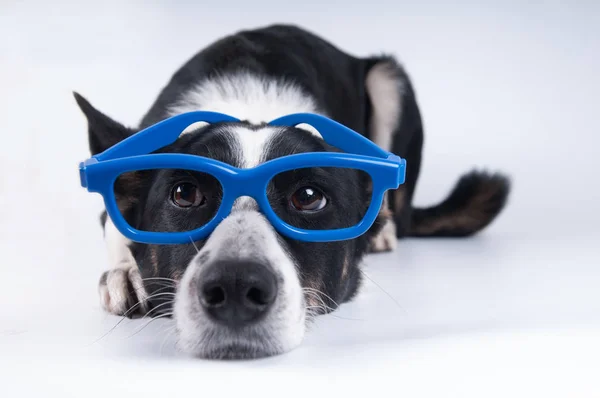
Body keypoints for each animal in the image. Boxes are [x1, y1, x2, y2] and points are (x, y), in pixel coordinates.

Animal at [72, 25, 508, 360]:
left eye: (309, 196)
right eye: (185, 193)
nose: (235, 287)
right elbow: (114, 222)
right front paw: (126, 273)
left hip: (387, 78)